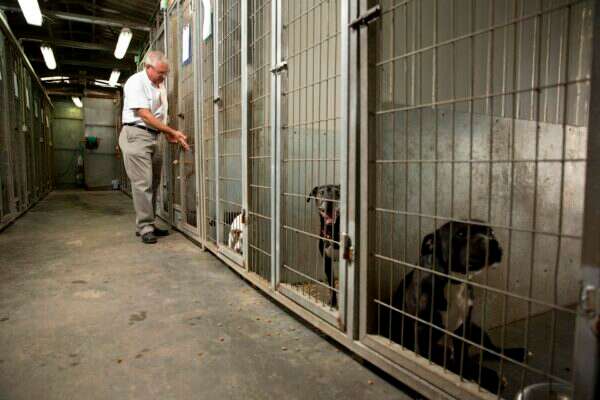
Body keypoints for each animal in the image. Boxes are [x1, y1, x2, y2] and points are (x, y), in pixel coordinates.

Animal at [388, 220, 528, 393]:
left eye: (491, 232)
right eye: (460, 234)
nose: (492, 241)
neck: (454, 281)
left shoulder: (463, 329)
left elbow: (462, 361)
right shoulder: (422, 332)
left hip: (476, 330)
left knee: (493, 350)